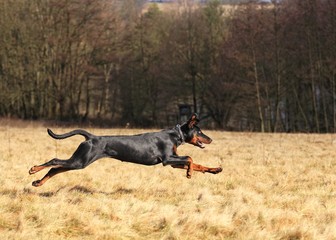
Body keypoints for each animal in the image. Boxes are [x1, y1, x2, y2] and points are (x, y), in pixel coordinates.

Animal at [29, 113, 223, 187]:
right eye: (200, 131)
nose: (211, 139)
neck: (175, 135)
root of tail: (91, 137)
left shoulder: (173, 163)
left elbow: (198, 164)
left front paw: (215, 169)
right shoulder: (167, 159)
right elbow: (190, 158)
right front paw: (189, 173)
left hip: (79, 161)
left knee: (56, 169)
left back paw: (38, 182)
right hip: (81, 161)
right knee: (55, 161)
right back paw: (33, 169)